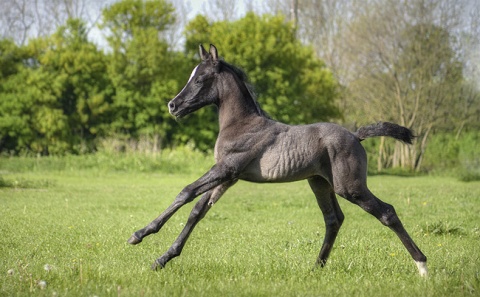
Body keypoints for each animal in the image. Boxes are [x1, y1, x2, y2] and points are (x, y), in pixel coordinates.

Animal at [128, 44, 428, 276]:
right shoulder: (229, 177)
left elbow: (186, 192)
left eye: (199, 79)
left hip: (350, 186)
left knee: (386, 212)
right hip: (320, 183)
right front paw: (161, 259)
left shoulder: (226, 169)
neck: (241, 124)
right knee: (334, 219)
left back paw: (422, 266)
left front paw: (139, 234)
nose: (173, 105)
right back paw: (315, 268)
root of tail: (356, 135)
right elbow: (198, 210)